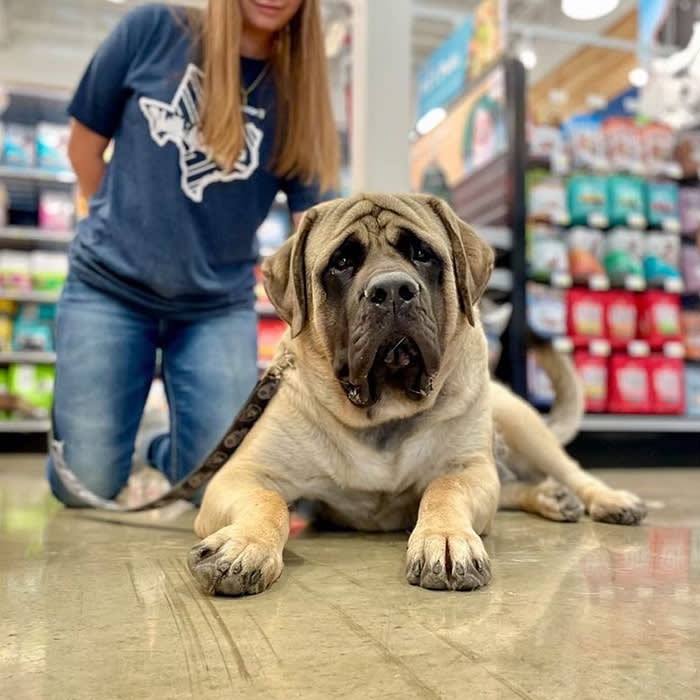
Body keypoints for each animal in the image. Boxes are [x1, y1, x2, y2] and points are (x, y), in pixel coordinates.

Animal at [186, 193, 644, 596]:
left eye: (423, 254)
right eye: (341, 262)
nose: (392, 290)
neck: (382, 412)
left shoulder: (468, 467)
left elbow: (444, 489)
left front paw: (446, 539)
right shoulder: (242, 473)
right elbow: (268, 501)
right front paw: (243, 546)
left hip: (522, 425)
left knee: (569, 472)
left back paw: (605, 499)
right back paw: (550, 497)